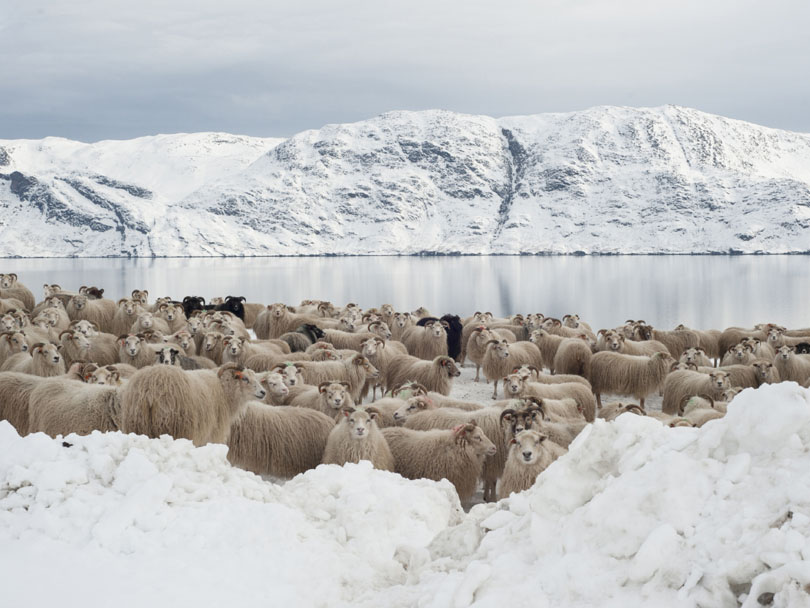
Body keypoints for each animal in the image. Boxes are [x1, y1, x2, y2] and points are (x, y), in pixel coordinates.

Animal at [120, 360, 266, 446]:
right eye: (245, 378)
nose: (263, 392)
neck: (224, 389)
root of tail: (150, 387)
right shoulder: (214, 435)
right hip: (175, 428)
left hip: (138, 424)